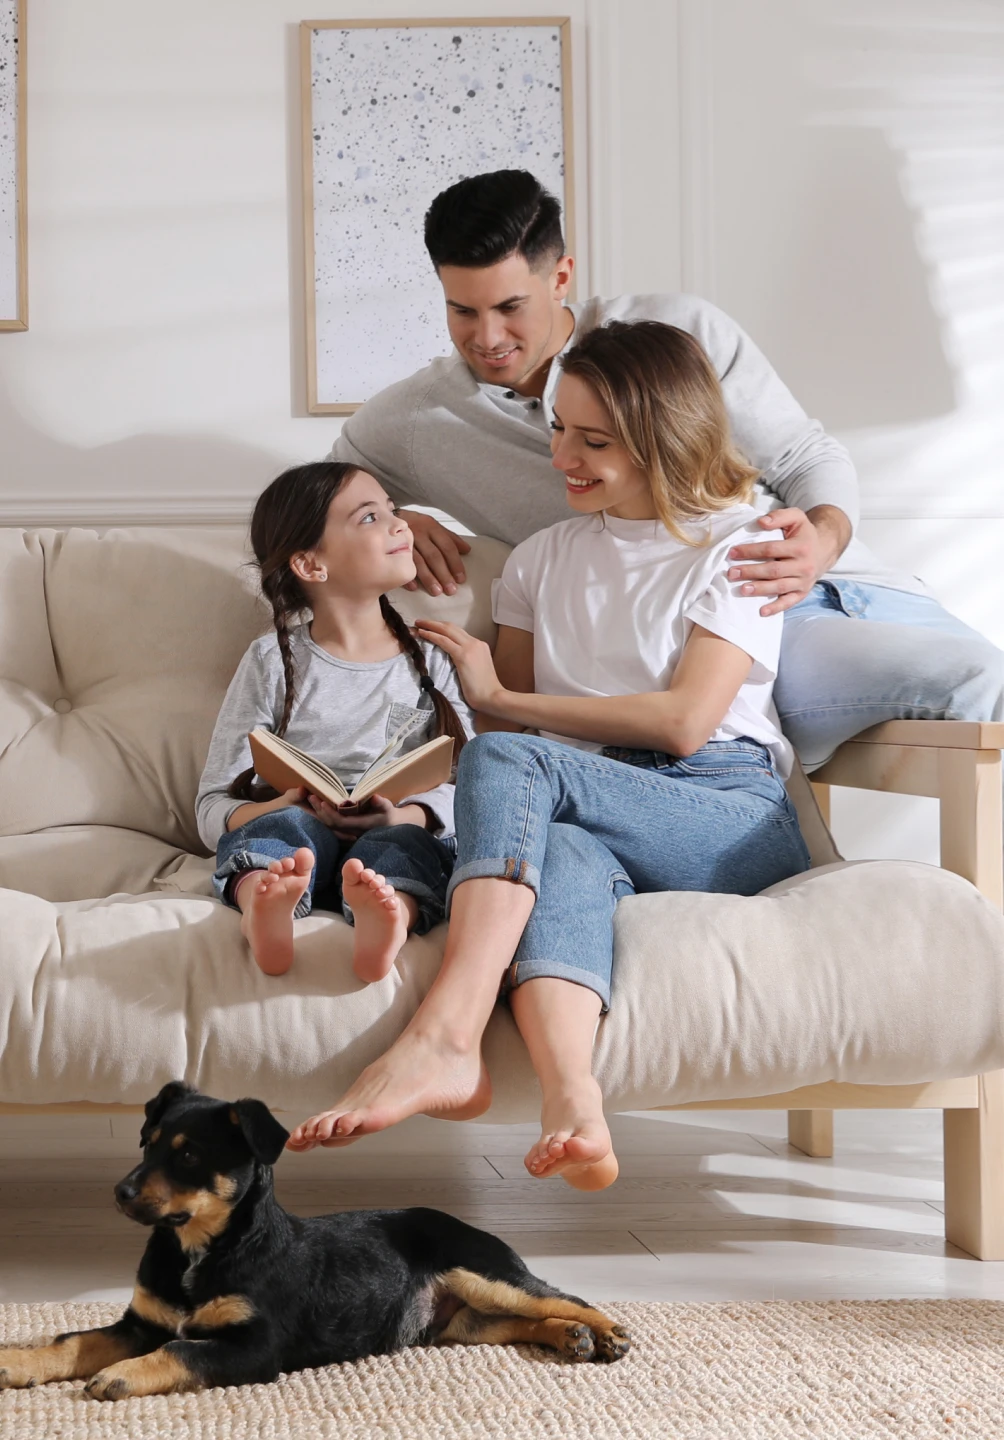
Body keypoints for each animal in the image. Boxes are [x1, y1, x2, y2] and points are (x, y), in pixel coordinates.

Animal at [0, 1082, 628, 1399]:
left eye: (188, 1155)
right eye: (147, 1142)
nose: (120, 1192)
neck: (199, 1249)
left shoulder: (255, 1347)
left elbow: (180, 1350)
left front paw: (122, 1375)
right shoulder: (141, 1322)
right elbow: (73, 1341)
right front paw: (17, 1361)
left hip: (484, 1272)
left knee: (558, 1296)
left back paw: (606, 1332)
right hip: (458, 1322)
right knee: (519, 1321)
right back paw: (570, 1338)